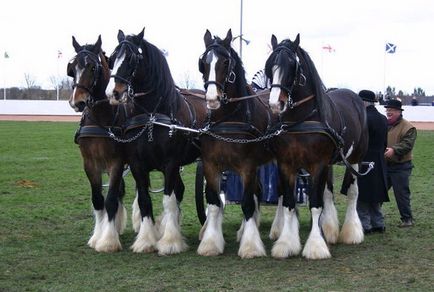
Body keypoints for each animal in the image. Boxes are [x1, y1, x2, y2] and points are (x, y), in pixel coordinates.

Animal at [68, 36, 128, 251]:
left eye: (93, 68)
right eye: (72, 68)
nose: (77, 102)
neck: (101, 119)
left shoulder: (116, 162)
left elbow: (110, 200)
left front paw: (108, 240)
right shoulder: (90, 163)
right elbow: (98, 200)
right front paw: (98, 235)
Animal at [104, 28, 207, 254]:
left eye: (131, 58)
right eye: (112, 58)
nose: (112, 93)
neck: (152, 115)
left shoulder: (170, 163)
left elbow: (168, 200)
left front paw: (169, 242)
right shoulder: (137, 165)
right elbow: (144, 201)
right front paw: (146, 240)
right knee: (179, 190)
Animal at [197, 29, 274, 258]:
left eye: (225, 62)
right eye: (203, 63)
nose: (212, 99)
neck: (228, 119)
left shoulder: (247, 166)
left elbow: (247, 203)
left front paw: (251, 246)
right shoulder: (211, 165)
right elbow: (214, 203)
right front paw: (211, 243)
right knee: (258, 191)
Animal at [264, 34, 370, 260]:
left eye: (292, 65)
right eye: (270, 66)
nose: (276, 104)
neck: (301, 120)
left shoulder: (318, 164)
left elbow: (314, 204)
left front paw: (315, 246)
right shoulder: (286, 164)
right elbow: (289, 203)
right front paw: (286, 244)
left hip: (355, 158)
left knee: (353, 193)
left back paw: (351, 232)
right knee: (328, 194)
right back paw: (330, 229)